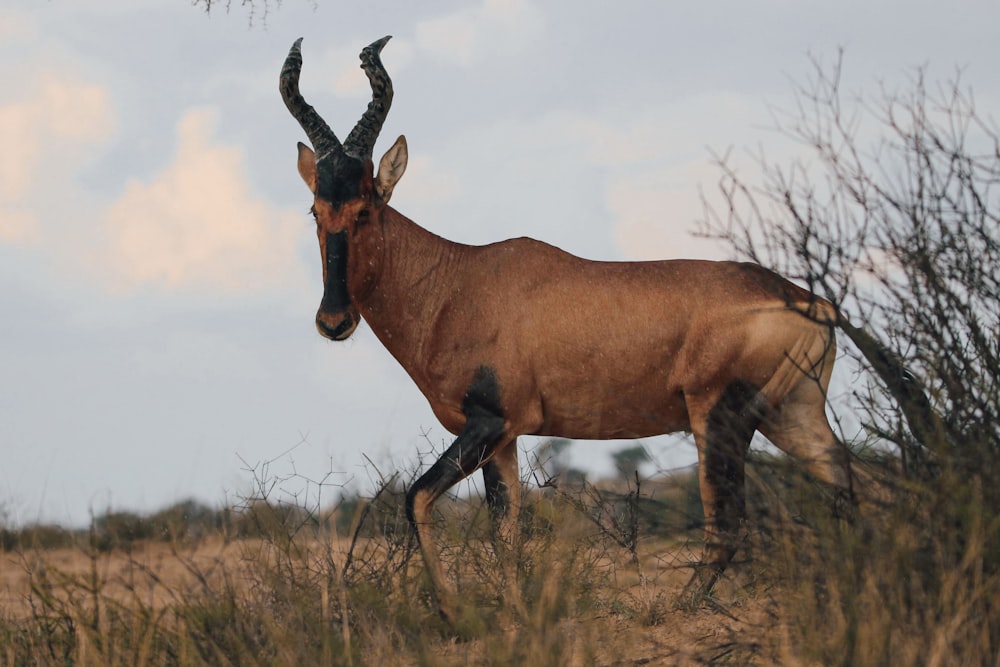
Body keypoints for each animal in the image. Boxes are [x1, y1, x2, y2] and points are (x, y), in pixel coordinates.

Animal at [280, 35, 852, 620]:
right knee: (853, 485)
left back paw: (675, 609)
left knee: (729, 526)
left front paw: (454, 610)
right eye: (316, 209)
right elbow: (505, 533)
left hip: (719, 416)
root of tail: (809, 300)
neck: (459, 280)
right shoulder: (504, 437)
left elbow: (417, 497)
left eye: (365, 207)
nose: (334, 321)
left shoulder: (488, 423)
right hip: (793, 415)